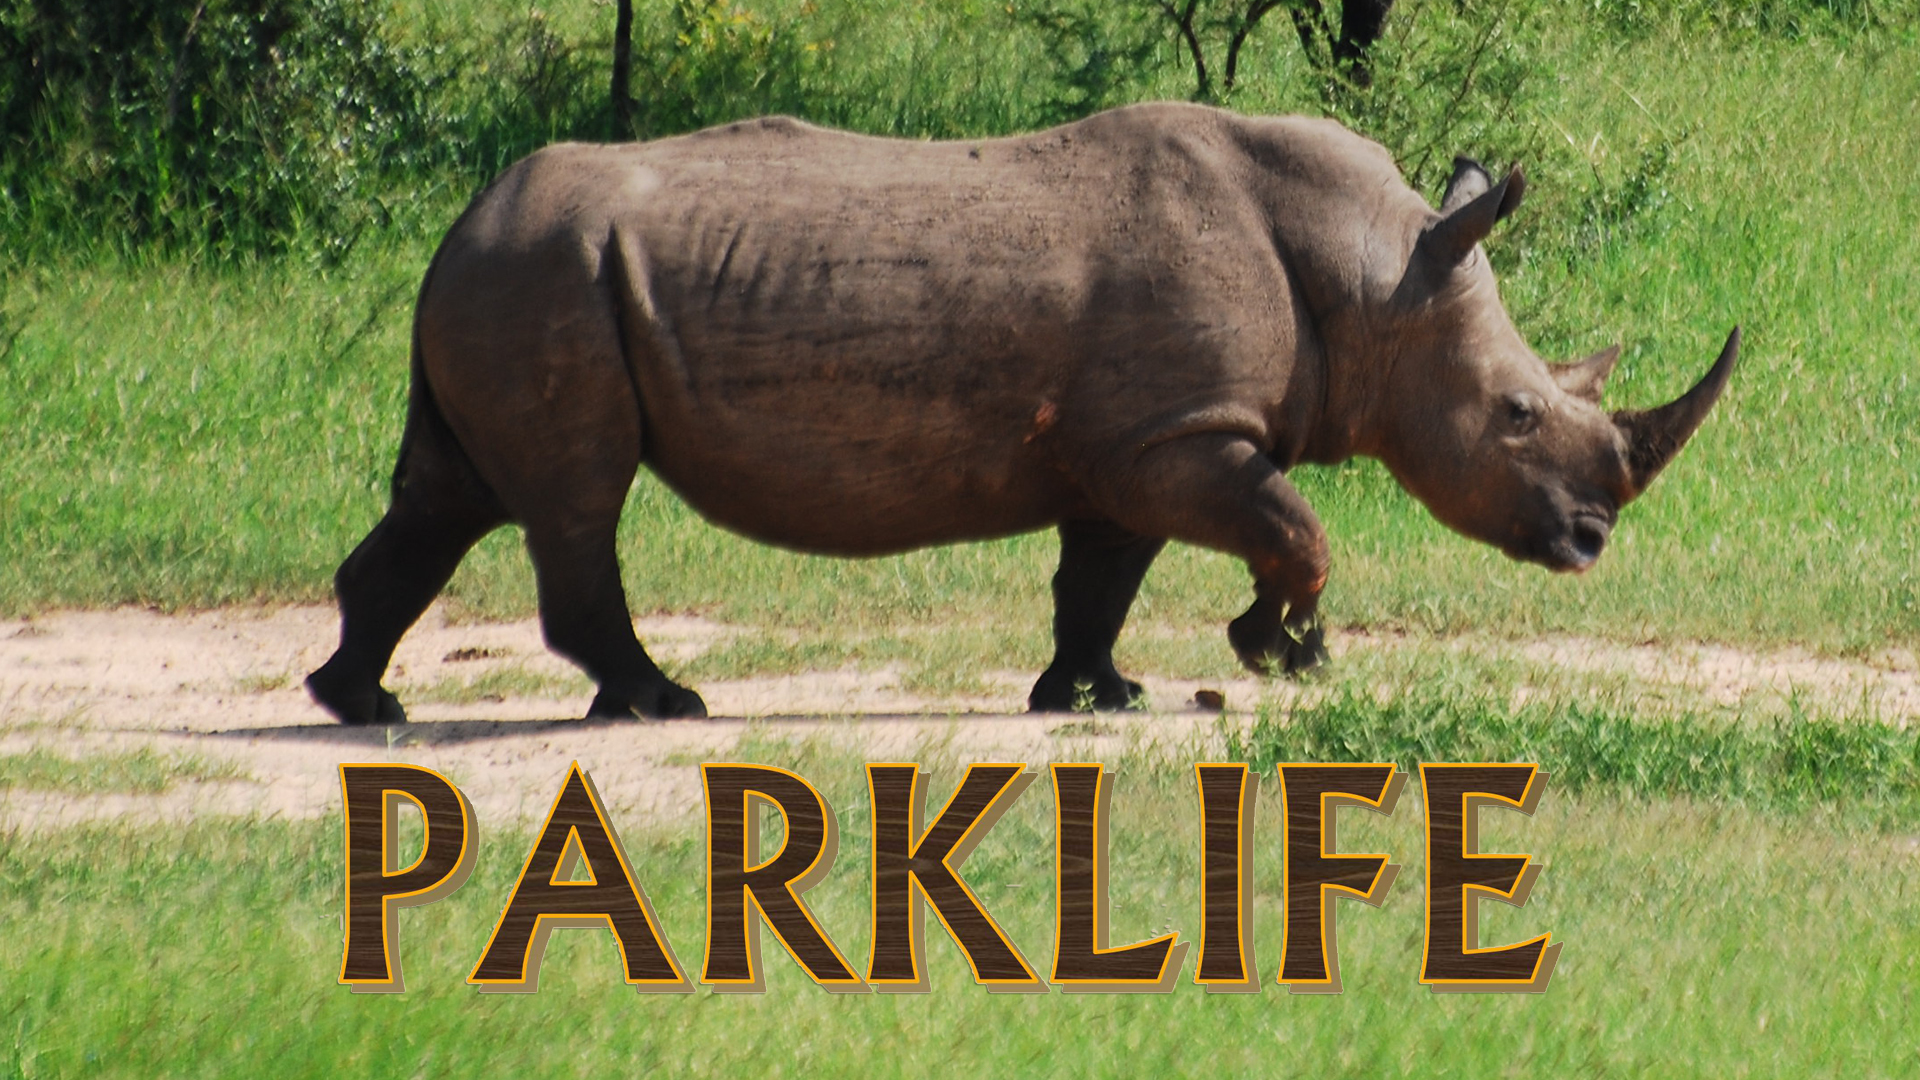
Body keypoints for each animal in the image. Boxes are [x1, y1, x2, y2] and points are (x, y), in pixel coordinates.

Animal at [305, 101, 1738, 724]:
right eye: (1515, 414)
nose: (1592, 541)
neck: (1379, 272)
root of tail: (454, 226)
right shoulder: (1183, 434)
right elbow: (1296, 527)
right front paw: (1280, 653)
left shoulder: (1135, 448)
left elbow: (1099, 580)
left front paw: (1099, 696)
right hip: (545, 276)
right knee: (574, 504)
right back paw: (663, 706)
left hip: (520, 276)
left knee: (449, 492)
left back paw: (360, 708)